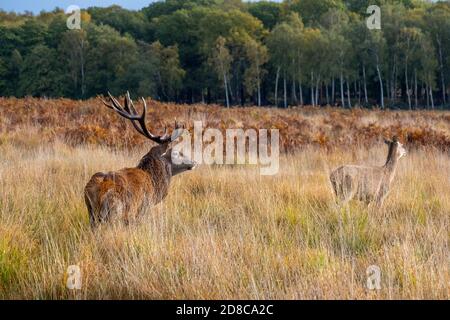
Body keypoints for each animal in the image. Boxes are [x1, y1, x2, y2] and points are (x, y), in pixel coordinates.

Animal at [85, 92, 196, 228]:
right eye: (176, 152)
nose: (194, 162)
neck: (155, 184)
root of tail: (99, 190)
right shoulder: (144, 207)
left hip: (91, 212)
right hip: (115, 212)